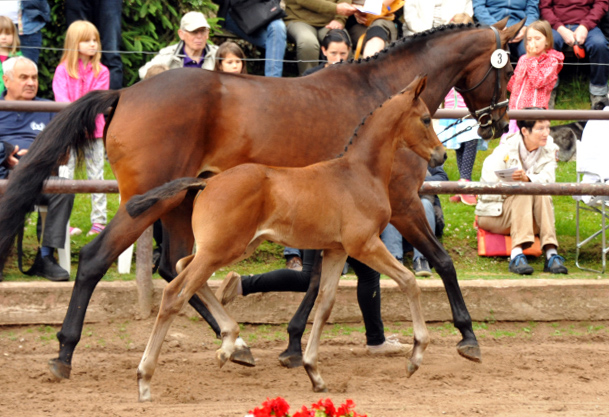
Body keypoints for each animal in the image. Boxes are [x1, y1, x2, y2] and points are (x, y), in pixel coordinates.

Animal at [127, 76, 442, 398]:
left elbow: (325, 304)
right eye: (426, 118)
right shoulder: (365, 245)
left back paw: (229, 344)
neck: (359, 174)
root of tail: (206, 183)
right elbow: (408, 281)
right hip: (220, 249)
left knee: (182, 266)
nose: (441, 154)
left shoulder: (337, 250)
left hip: (229, 248)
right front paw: (416, 356)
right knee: (173, 292)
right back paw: (145, 378)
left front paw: (314, 373)